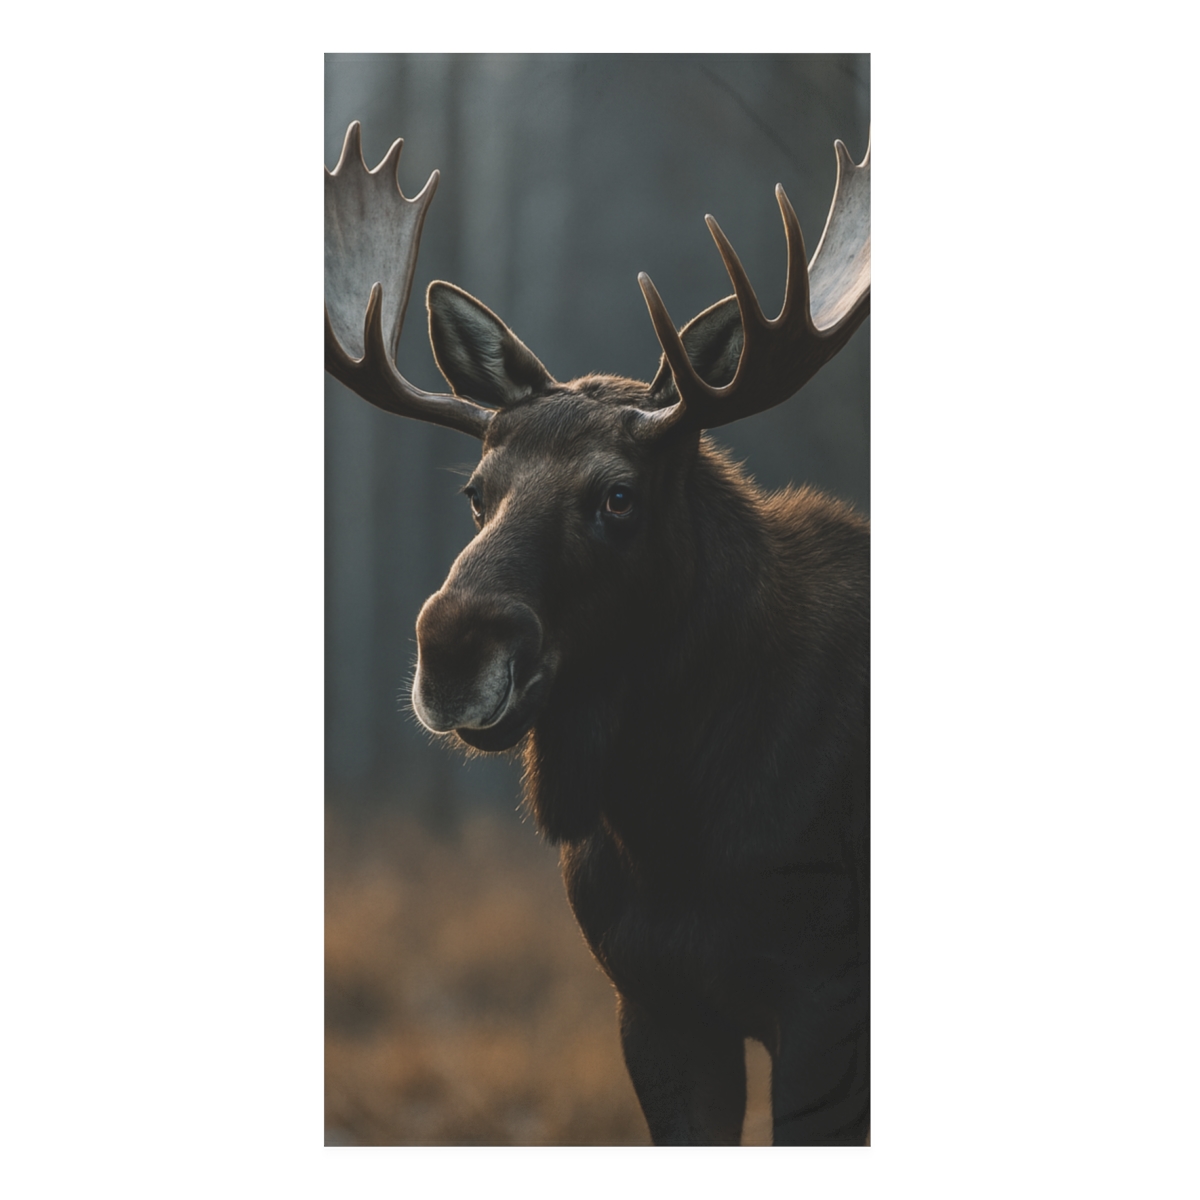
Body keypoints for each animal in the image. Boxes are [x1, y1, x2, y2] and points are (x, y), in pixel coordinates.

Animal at [325, 120, 870, 1146]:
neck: (671, 827)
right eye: (477, 491)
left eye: (618, 495)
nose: (451, 649)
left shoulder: (826, 1000)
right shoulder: (654, 1004)